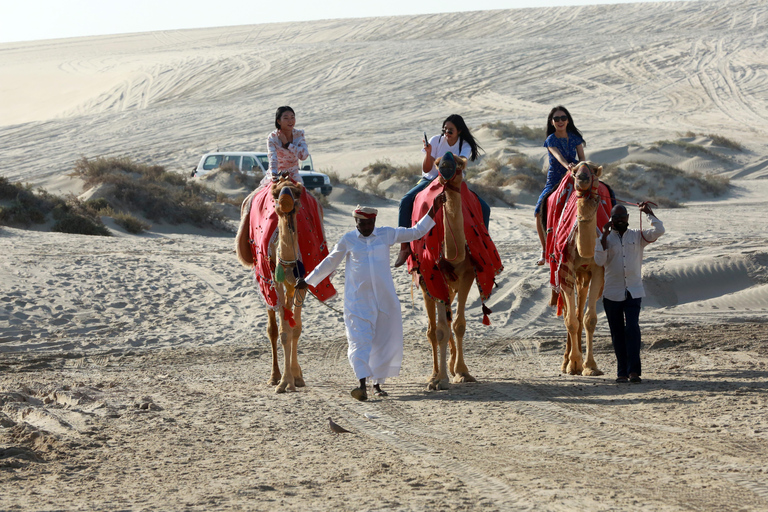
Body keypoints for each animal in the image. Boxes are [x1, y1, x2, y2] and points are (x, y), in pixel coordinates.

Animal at [236, 178, 334, 394]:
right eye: (275, 194)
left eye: (297, 194)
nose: (285, 201)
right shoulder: (275, 280)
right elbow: (282, 332)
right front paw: (284, 382)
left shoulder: (302, 282)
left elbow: (296, 328)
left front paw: (296, 377)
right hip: (264, 278)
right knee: (272, 327)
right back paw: (274, 376)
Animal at [408, 154, 504, 390]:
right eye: (437, 163)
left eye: (461, 164)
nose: (446, 163)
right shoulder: (435, 277)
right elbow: (441, 330)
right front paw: (440, 379)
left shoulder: (468, 273)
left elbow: (459, 324)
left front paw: (462, 372)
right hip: (424, 281)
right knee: (432, 329)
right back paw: (434, 373)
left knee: (449, 320)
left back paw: (451, 366)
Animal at [544, 161, 612, 376]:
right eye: (575, 171)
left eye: (594, 170)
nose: (582, 177)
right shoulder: (566, 268)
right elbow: (571, 320)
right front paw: (573, 363)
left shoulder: (598, 270)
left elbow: (589, 319)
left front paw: (590, 365)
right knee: (569, 313)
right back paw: (566, 360)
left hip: (584, 274)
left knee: (580, 311)